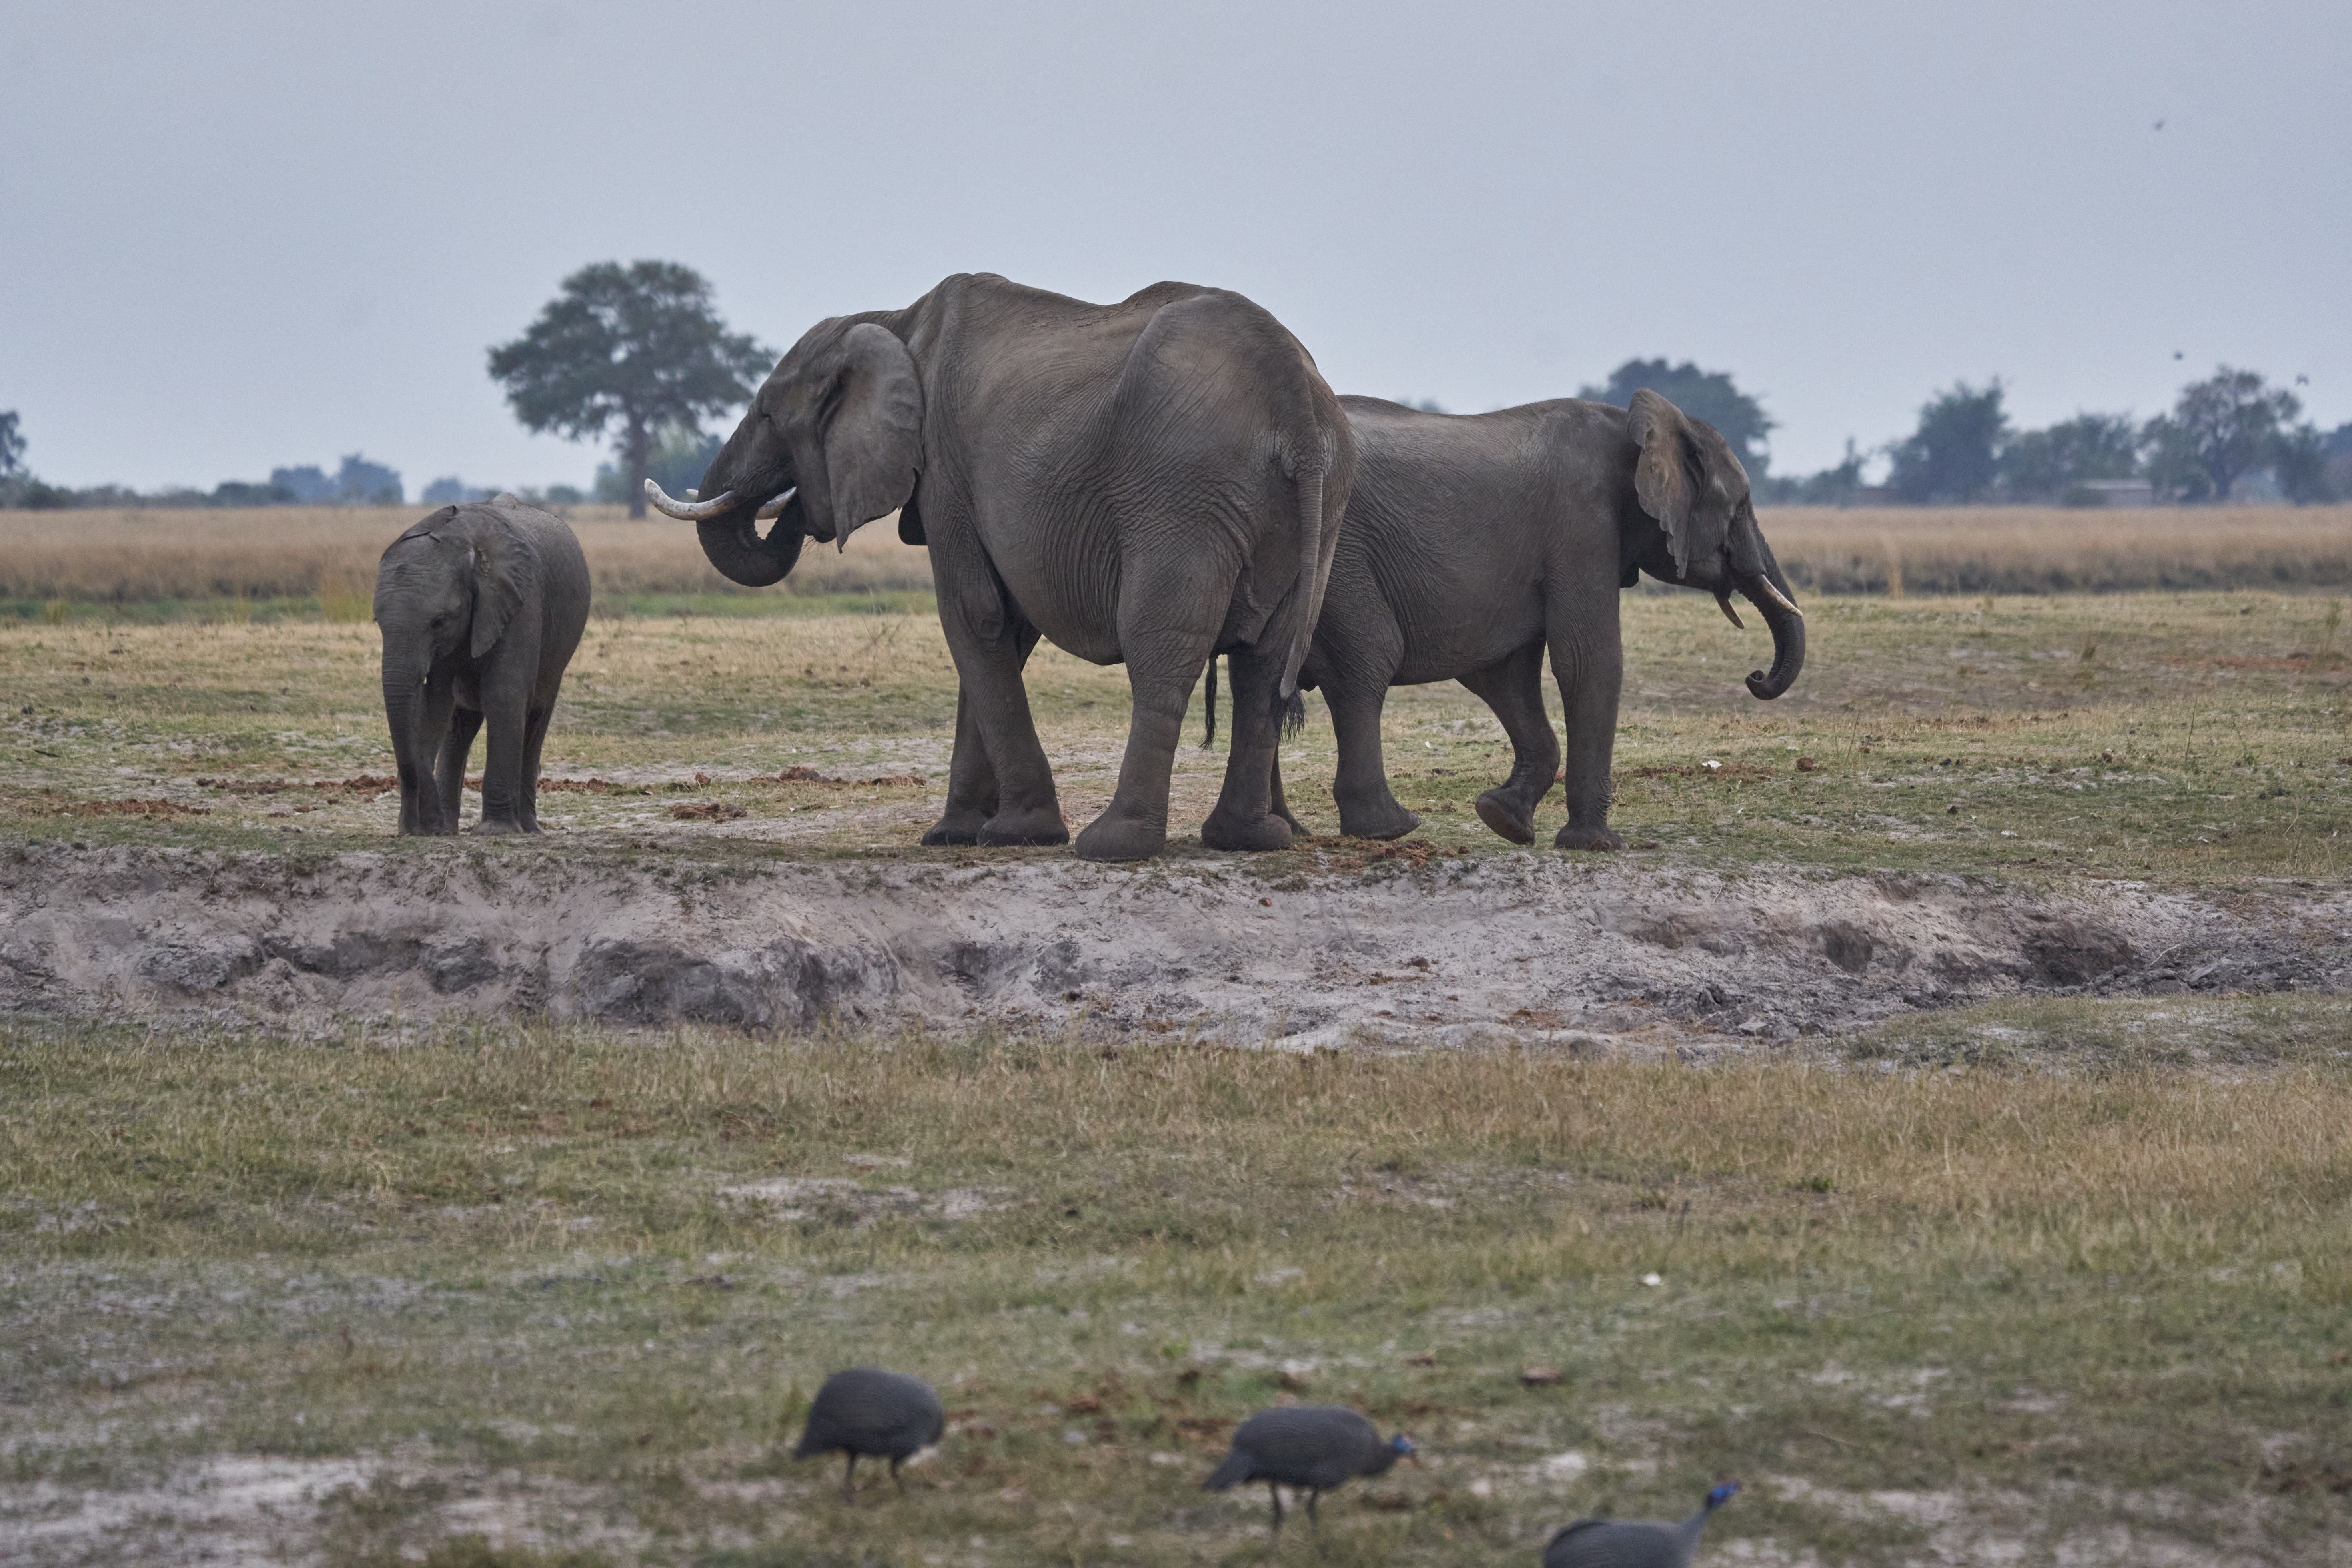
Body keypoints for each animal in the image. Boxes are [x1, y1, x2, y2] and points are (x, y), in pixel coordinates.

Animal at [373, 494, 591, 836]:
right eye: (377, 621)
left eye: (439, 622)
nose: (421, 826)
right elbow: (435, 705)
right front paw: (427, 830)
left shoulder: (521, 600)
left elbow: (504, 694)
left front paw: (495, 832)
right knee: (459, 726)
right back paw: (450, 828)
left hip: (558, 651)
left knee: (535, 720)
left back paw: (529, 830)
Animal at [645, 273, 1352, 863]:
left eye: (767, 411)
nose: (787, 503)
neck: (891, 322)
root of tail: (1294, 400)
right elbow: (1003, 630)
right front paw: (952, 834)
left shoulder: (946, 472)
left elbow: (974, 617)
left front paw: (1016, 834)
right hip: (1317, 503)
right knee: (1264, 660)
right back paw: (1247, 840)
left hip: (1183, 493)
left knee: (1161, 648)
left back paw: (1112, 845)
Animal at [1265, 388, 1804, 849]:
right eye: (1741, 506)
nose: (1756, 676)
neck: (1636, 425)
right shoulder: (1583, 523)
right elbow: (1587, 659)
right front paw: (1596, 845)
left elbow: (1504, 674)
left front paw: (1502, 819)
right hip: (1334, 557)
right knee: (1367, 660)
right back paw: (1385, 829)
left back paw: (1288, 831)